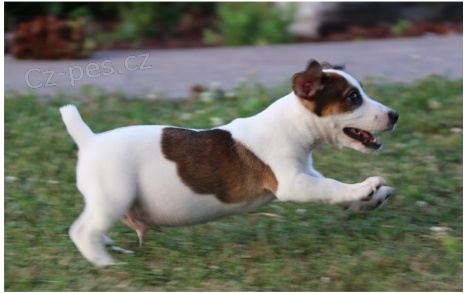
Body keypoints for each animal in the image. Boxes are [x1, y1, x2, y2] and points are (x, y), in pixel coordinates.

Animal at [59, 60, 398, 266]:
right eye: (353, 98)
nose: (394, 115)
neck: (292, 124)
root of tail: (89, 140)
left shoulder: (307, 174)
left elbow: (333, 194)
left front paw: (369, 199)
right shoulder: (292, 183)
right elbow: (332, 186)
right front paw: (365, 187)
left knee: (96, 231)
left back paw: (113, 250)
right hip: (113, 196)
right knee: (82, 231)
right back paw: (107, 264)